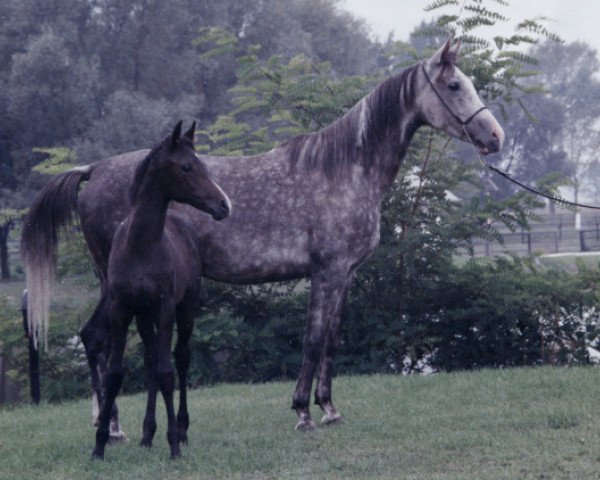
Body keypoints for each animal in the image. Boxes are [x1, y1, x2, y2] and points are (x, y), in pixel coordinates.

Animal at [21, 37, 504, 436]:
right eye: (455, 86)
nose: (495, 136)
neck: (344, 168)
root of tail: (92, 171)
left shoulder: (345, 275)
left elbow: (331, 339)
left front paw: (329, 409)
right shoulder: (326, 272)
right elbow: (312, 339)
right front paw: (303, 412)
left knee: (92, 338)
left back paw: (108, 423)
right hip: (115, 282)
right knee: (98, 338)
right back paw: (112, 425)